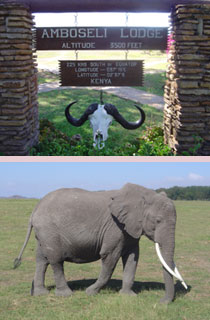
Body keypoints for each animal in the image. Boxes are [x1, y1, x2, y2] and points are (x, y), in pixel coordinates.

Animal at [13, 182, 186, 302]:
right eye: (158, 221)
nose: (161, 301)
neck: (144, 195)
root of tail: (35, 209)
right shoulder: (115, 227)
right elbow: (109, 257)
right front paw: (90, 292)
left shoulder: (130, 229)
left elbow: (132, 258)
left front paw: (128, 296)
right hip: (49, 231)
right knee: (55, 260)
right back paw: (65, 295)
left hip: (43, 233)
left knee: (41, 259)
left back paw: (40, 293)